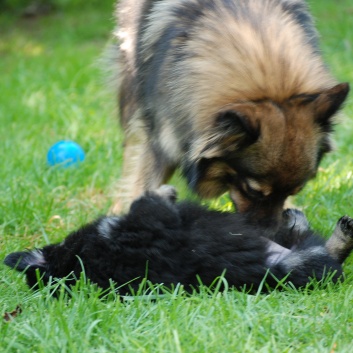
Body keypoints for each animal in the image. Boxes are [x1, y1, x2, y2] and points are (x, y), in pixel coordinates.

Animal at [3, 186, 352, 292]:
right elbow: (146, 204)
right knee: (324, 258)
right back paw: (340, 235)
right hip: (295, 268)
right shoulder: (143, 230)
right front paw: (165, 191)